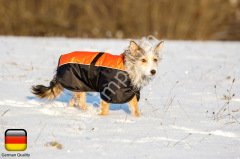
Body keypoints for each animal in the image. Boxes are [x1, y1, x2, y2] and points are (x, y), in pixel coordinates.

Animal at [31, 37, 163, 117]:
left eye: (155, 60)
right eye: (143, 60)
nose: (153, 71)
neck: (129, 69)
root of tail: (61, 60)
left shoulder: (130, 93)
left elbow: (135, 109)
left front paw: (138, 119)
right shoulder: (107, 91)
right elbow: (105, 109)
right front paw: (102, 118)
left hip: (79, 88)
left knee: (73, 101)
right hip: (78, 85)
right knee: (81, 103)